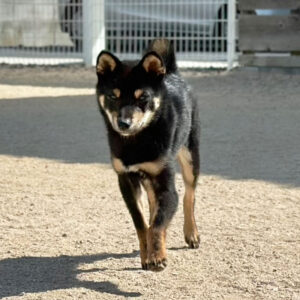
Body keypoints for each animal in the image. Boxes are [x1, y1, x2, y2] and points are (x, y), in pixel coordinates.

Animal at [95, 39, 200, 272]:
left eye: (143, 97)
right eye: (113, 96)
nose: (123, 123)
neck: (136, 141)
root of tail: (171, 72)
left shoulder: (166, 185)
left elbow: (157, 224)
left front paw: (157, 257)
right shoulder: (127, 181)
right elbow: (142, 223)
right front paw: (148, 255)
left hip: (190, 157)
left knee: (189, 195)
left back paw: (191, 233)